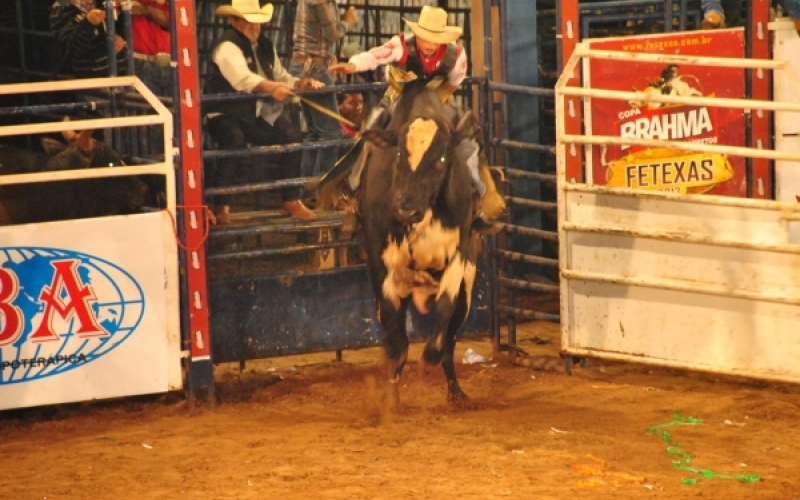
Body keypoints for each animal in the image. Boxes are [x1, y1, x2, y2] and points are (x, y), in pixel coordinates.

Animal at [360, 82, 482, 402]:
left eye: (441, 159)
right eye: (400, 155)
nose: (406, 209)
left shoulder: (457, 256)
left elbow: (444, 308)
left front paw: (428, 358)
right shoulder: (380, 264)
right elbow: (396, 336)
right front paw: (390, 400)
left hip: (466, 295)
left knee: (450, 338)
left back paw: (456, 392)